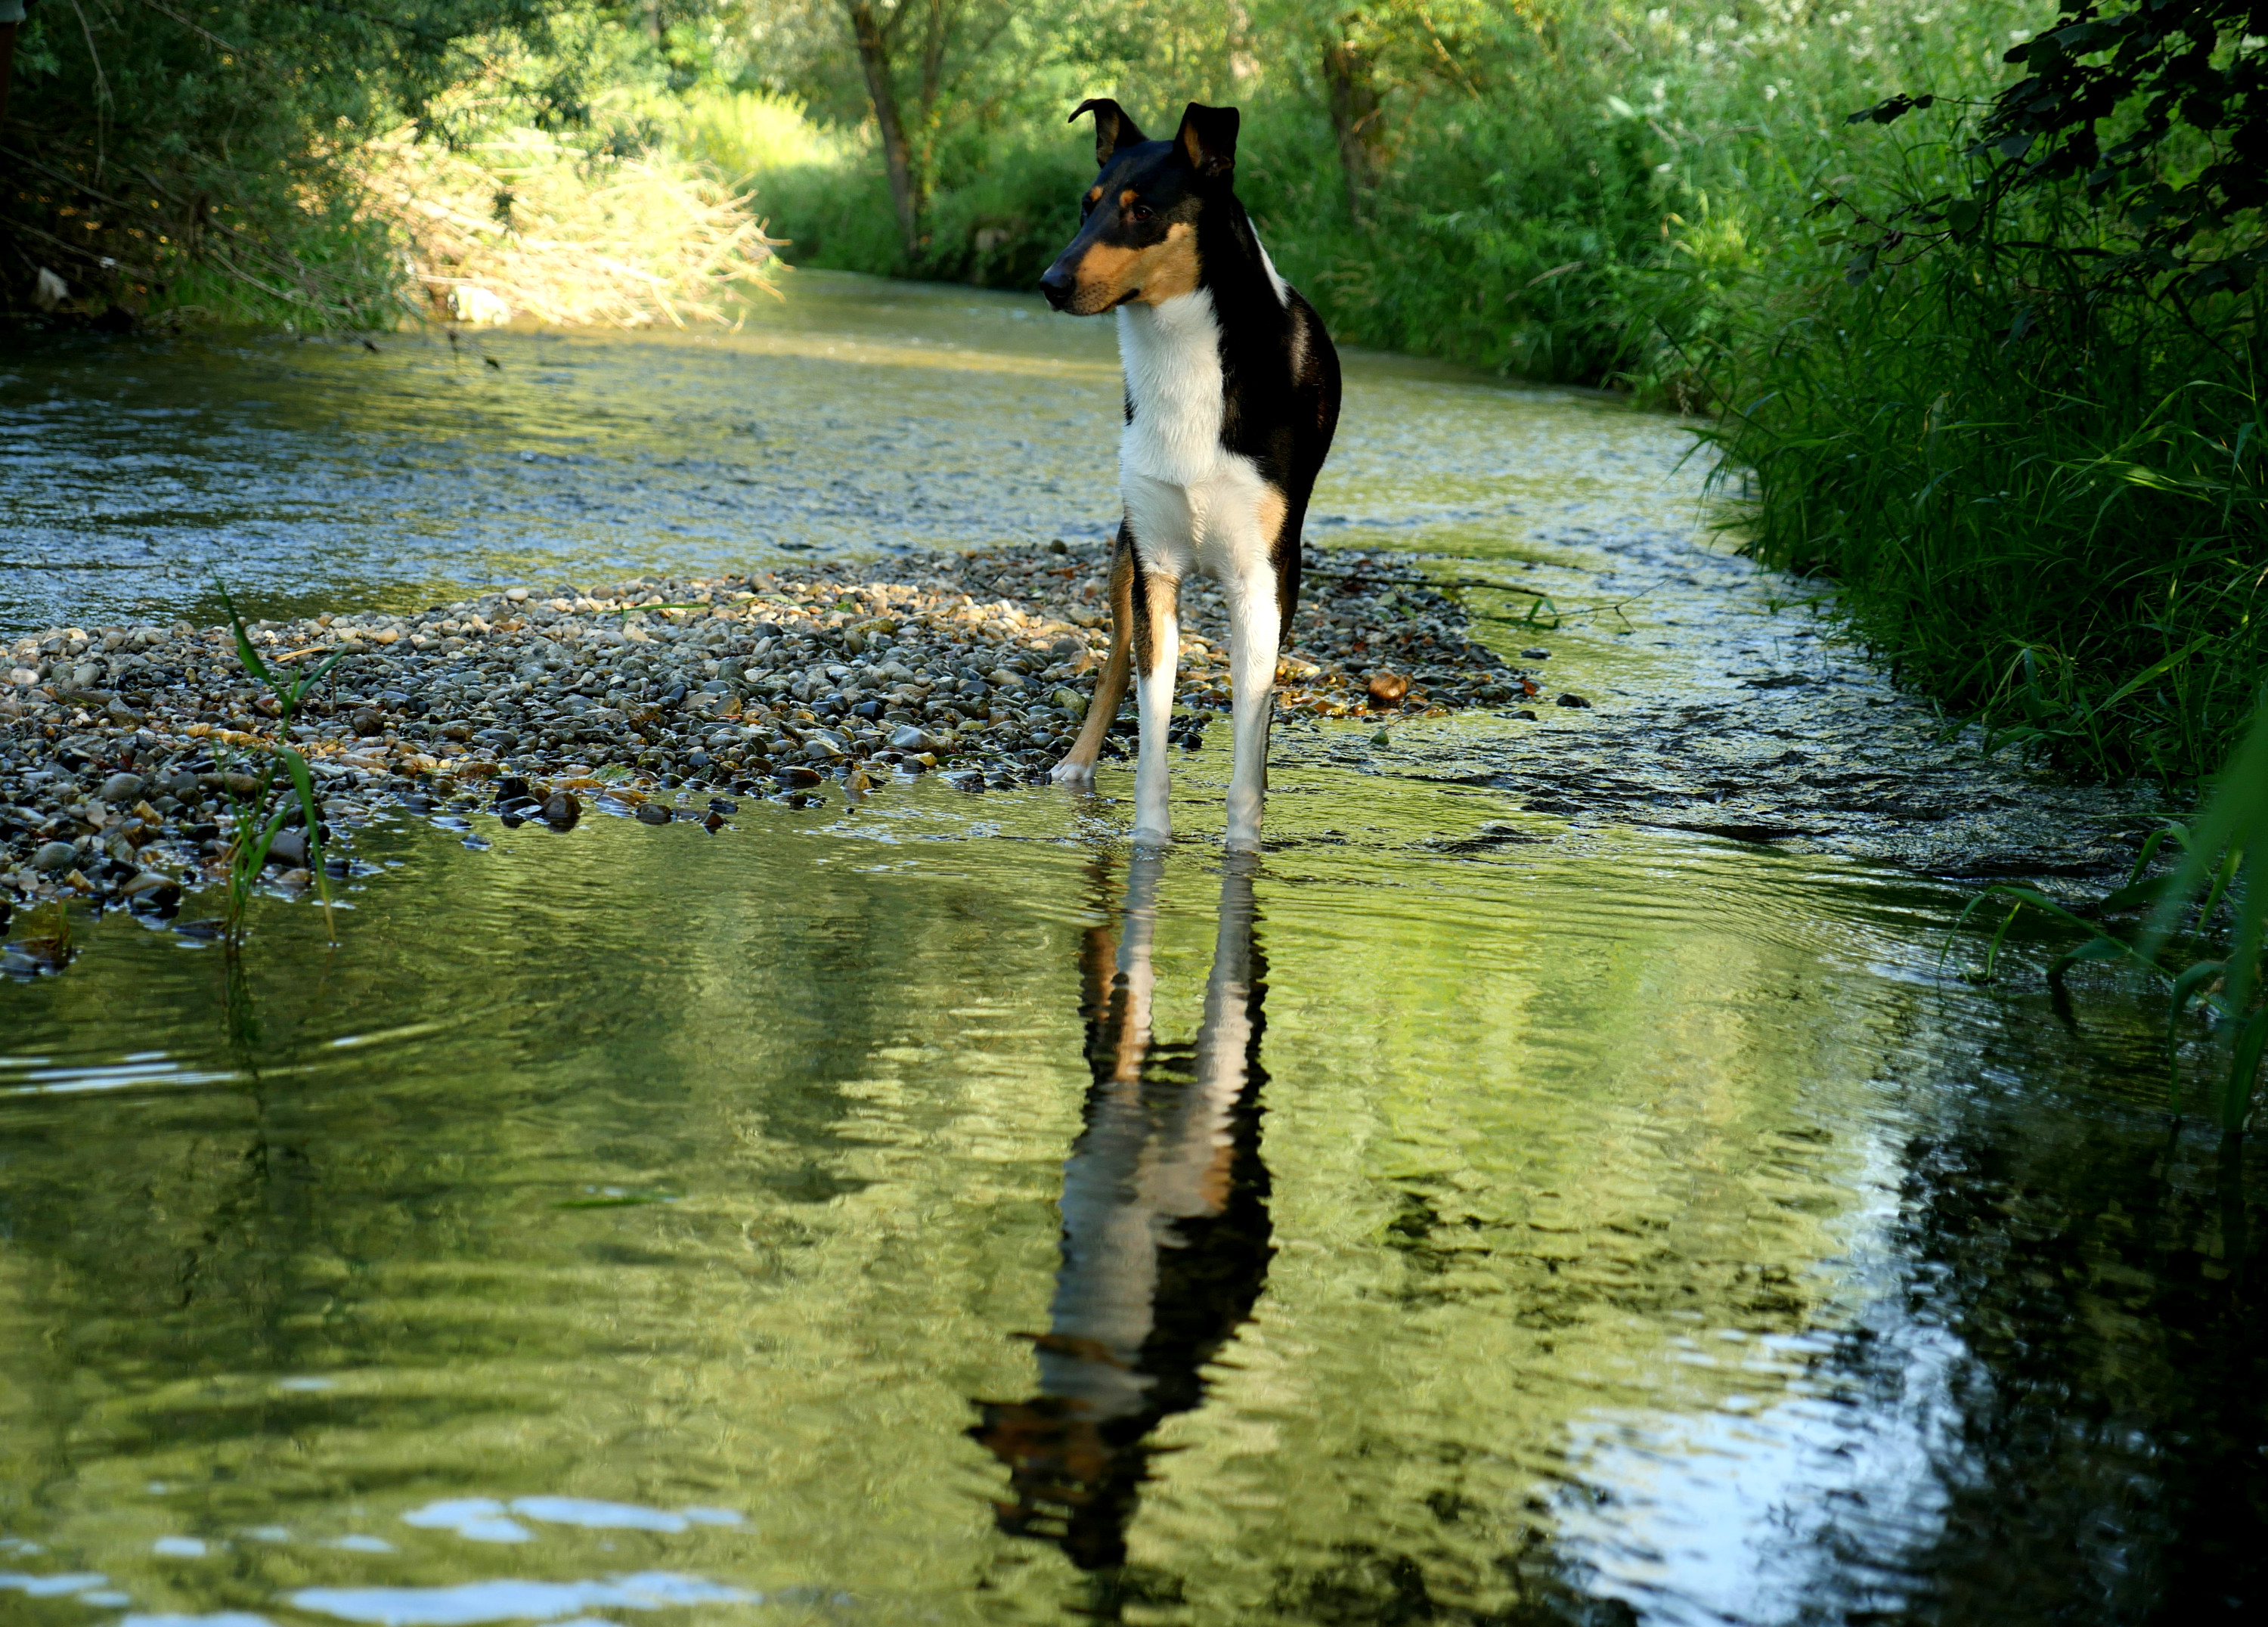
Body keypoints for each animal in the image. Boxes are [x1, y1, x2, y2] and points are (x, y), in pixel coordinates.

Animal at [1043, 98, 1343, 848]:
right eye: (1086, 205)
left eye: (1143, 211)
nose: (1049, 284)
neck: (1182, 359)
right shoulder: (1156, 570)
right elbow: (1150, 733)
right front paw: (1151, 844)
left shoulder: (1258, 583)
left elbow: (1248, 747)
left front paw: (1244, 851)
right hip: (1125, 557)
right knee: (1115, 660)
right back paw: (1077, 763)